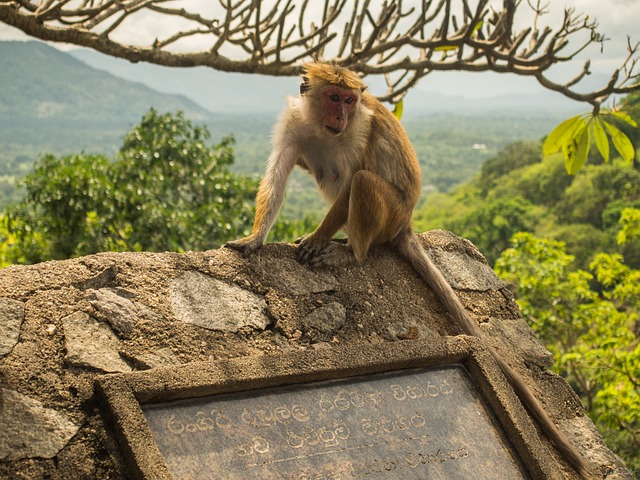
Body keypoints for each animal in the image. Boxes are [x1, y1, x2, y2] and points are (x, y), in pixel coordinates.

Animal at [226, 62, 596, 478]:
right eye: (334, 97)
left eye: (349, 101)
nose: (341, 116)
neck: (322, 126)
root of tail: (406, 224)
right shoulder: (294, 123)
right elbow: (279, 171)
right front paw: (254, 238)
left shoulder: (359, 129)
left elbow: (353, 177)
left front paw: (319, 238)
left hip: (390, 212)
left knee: (361, 181)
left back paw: (351, 253)